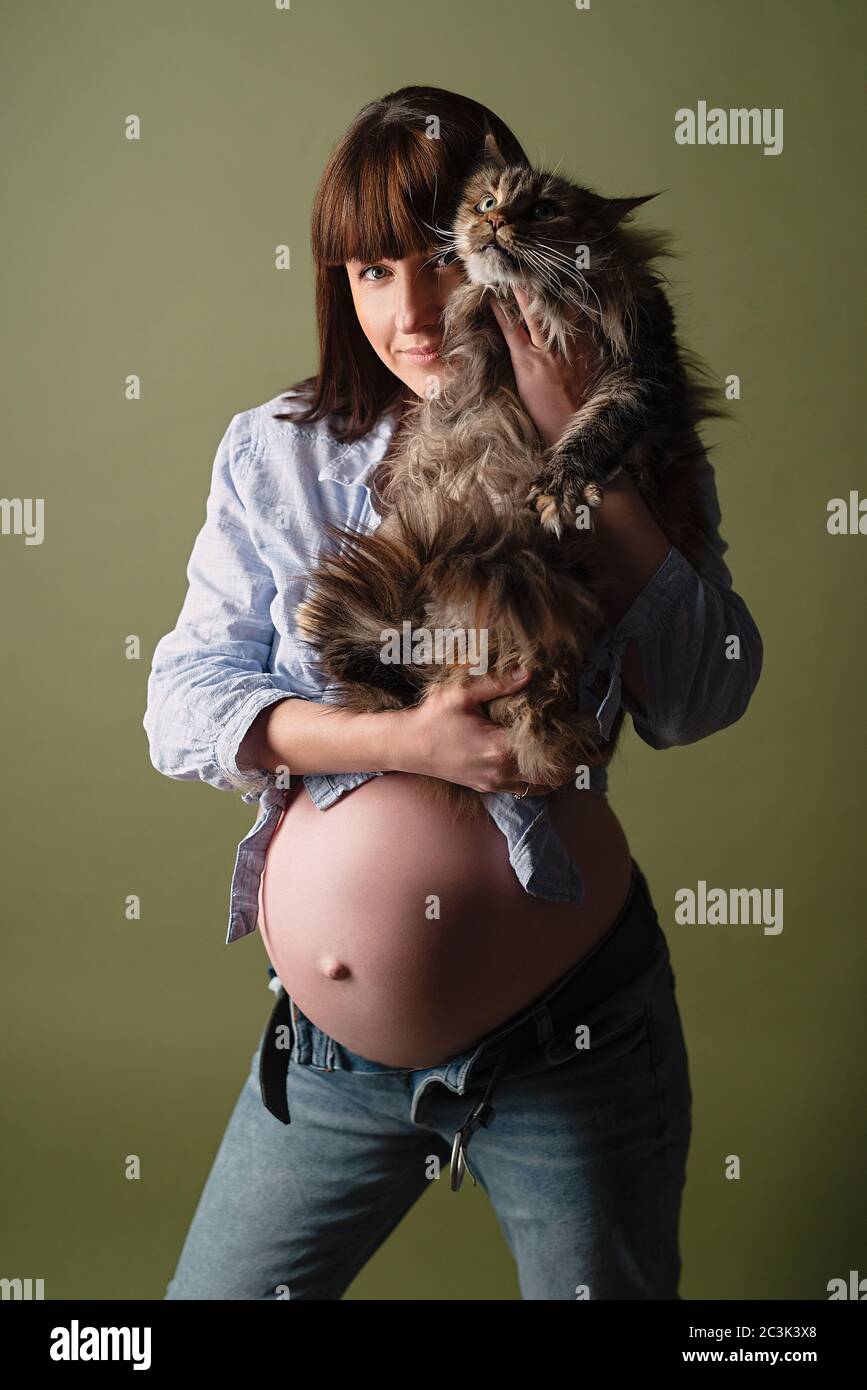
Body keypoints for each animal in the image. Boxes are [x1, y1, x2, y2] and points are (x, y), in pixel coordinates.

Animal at [294, 131, 722, 817]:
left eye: (544, 210)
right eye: (488, 199)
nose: (492, 222)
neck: (528, 306)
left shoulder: (642, 371)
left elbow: (596, 426)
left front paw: (560, 487)